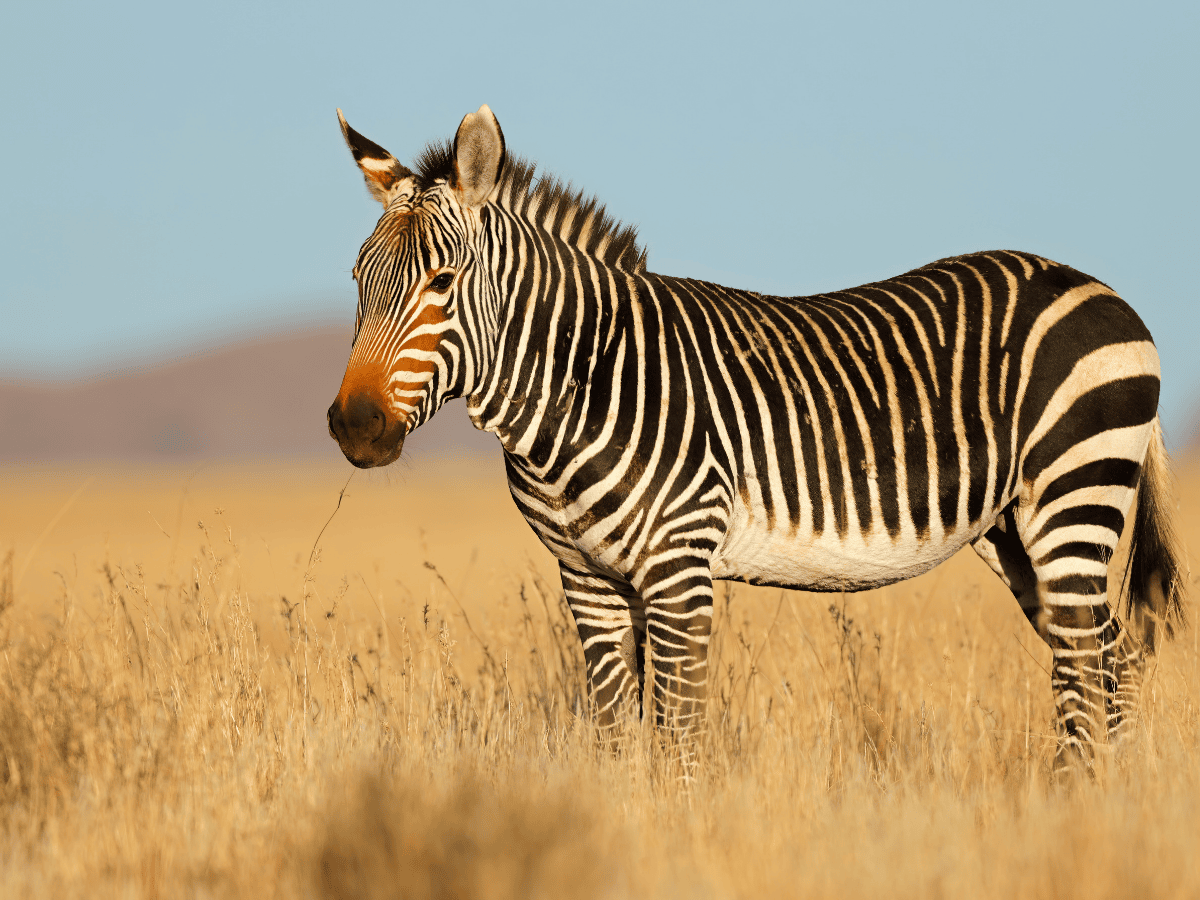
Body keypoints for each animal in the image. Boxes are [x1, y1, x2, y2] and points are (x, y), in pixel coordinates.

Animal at [326, 104, 1186, 772]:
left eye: (441, 284)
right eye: (358, 280)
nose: (354, 427)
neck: (585, 383)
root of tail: (1101, 289)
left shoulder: (679, 568)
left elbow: (677, 737)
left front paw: (677, 836)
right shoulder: (588, 580)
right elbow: (617, 739)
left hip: (1074, 493)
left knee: (1086, 670)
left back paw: (1081, 805)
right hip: (1015, 531)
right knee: (1112, 658)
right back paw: (1110, 803)